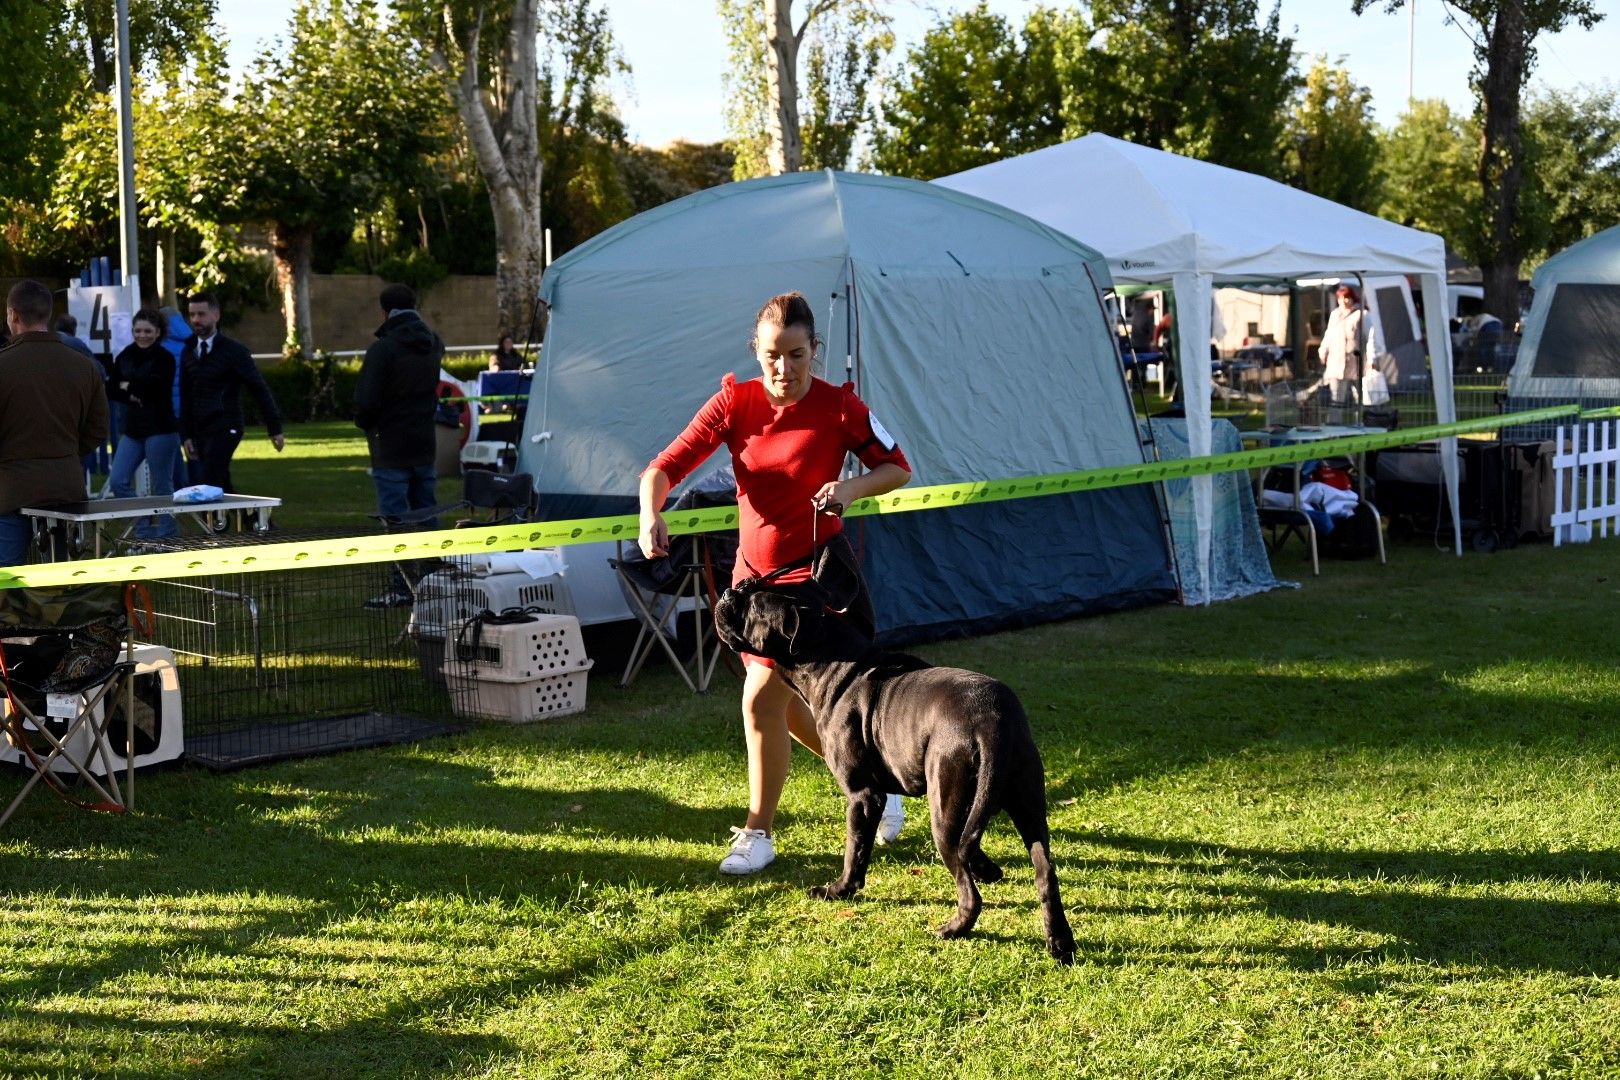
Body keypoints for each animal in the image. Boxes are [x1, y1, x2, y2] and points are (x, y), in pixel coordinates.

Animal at [712, 582, 1075, 965]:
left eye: (755, 606)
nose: (729, 592)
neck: (829, 660)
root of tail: (992, 721)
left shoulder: (862, 796)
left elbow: (855, 850)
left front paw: (839, 890)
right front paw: (989, 869)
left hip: (945, 811)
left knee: (969, 888)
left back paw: (953, 929)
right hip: (1027, 804)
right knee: (1044, 873)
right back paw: (1060, 943)